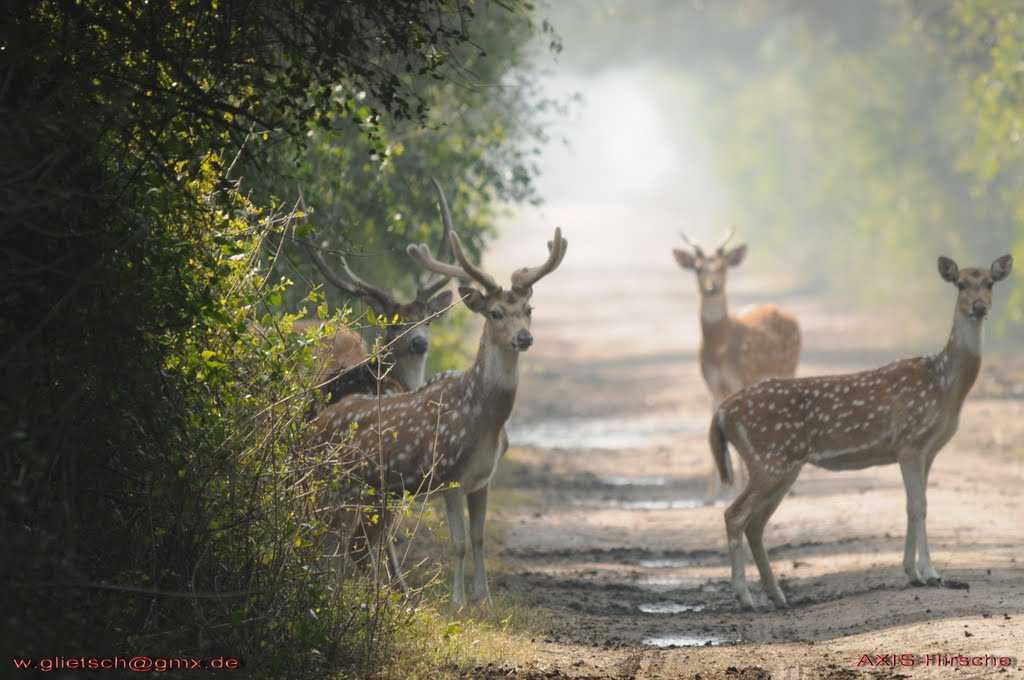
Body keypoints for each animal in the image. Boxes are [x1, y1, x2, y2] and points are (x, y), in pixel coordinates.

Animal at [311, 225, 569, 602]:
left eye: (529, 308)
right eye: (495, 313)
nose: (524, 338)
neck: (485, 420)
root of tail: (316, 419)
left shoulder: (482, 480)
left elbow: (478, 539)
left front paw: (484, 598)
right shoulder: (448, 473)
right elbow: (458, 543)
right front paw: (458, 601)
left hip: (375, 491)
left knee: (355, 543)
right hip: (336, 484)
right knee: (332, 538)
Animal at [675, 229, 802, 493]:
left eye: (722, 267)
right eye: (698, 268)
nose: (712, 287)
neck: (719, 349)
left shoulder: (739, 378)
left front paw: (739, 486)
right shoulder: (711, 384)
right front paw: (712, 492)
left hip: (789, 367)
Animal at [712, 255, 1015, 610]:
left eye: (990, 283)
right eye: (961, 284)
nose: (980, 306)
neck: (944, 385)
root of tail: (723, 411)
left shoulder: (927, 450)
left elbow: (915, 505)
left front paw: (912, 572)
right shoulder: (909, 442)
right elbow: (919, 506)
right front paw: (930, 573)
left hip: (781, 466)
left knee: (755, 523)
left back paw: (777, 595)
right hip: (769, 458)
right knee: (734, 515)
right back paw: (746, 598)